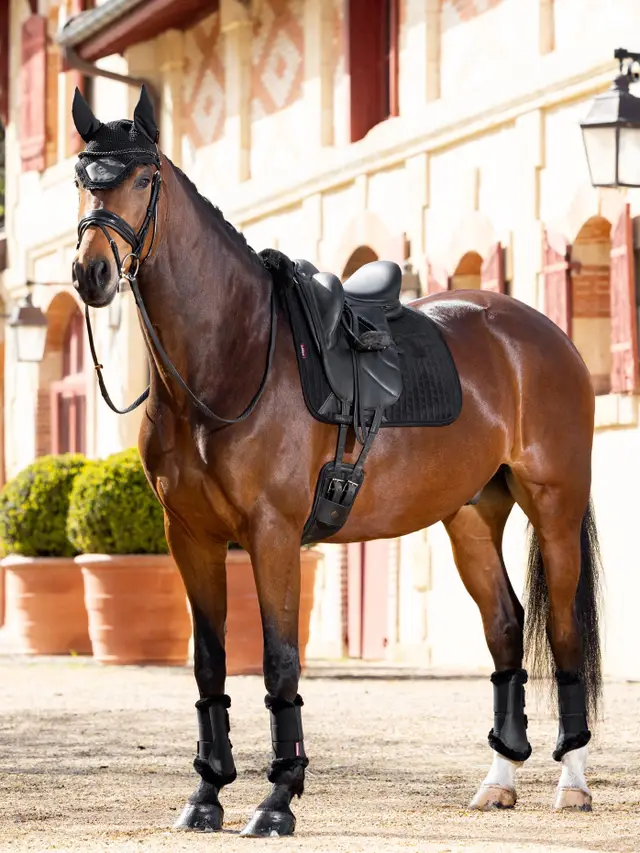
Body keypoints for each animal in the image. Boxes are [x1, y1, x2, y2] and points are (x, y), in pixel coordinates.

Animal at [70, 86, 602, 836]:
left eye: (143, 178)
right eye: (81, 179)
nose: (91, 273)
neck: (231, 357)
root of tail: (541, 334)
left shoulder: (272, 535)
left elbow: (280, 664)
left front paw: (276, 800)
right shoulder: (190, 536)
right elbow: (208, 665)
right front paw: (205, 795)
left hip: (553, 506)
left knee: (561, 632)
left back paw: (572, 781)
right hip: (470, 516)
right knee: (503, 628)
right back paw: (498, 780)